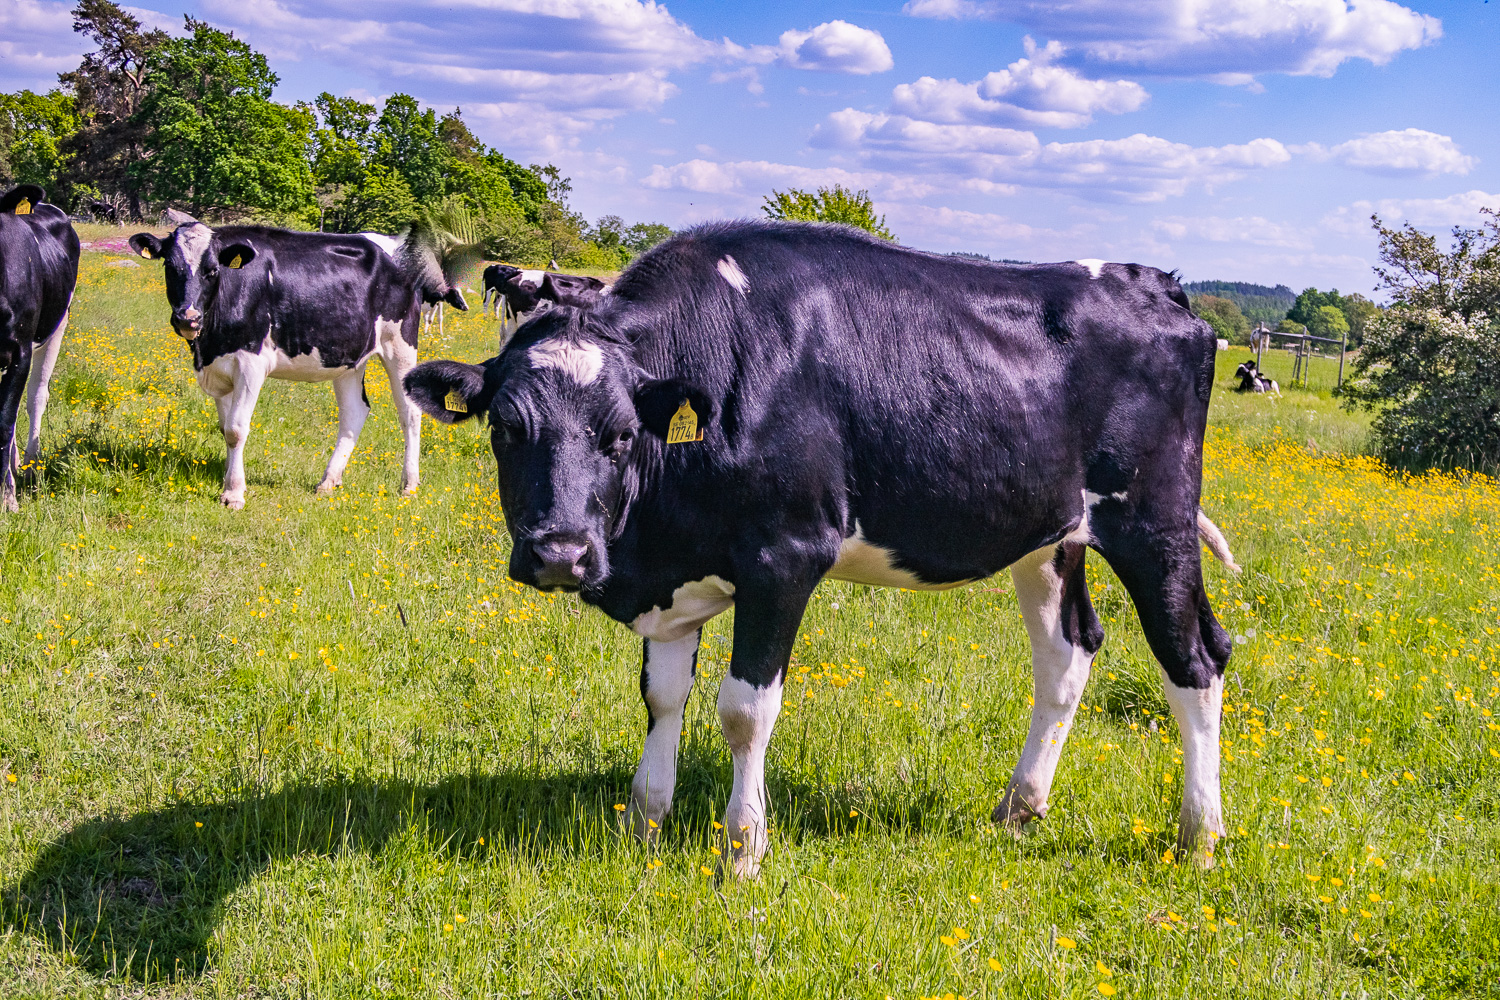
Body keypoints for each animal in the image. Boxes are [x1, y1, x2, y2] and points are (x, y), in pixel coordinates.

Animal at [132, 212, 465, 509]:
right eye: (170, 266)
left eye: (212, 270)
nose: (187, 317)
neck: (209, 343)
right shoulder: (219, 367)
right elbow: (225, 428)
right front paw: (229, 481)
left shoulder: (251, 364)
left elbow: (237, 429)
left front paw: (234, 493)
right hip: (349, 356)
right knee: (355, 412)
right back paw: (329, 481)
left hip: (400, 345)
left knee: (410, 413)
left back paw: (409, 485)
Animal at [405, 220, 1236, 875]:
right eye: (506, 428)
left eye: (620, 435)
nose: (561, 554)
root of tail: (1154, 282)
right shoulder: (673, 581)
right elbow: (662, 697)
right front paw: (643, 827)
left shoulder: (785, 557)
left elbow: (744, 710)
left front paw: (742, 853)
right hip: (1052, 536)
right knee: (1068, 653)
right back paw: (1018, 809)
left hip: (1154, 520)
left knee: (1196, 659)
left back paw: (1198, 837)